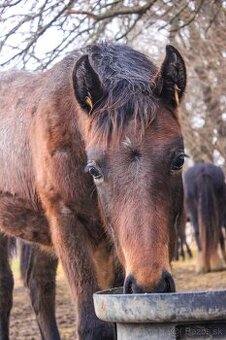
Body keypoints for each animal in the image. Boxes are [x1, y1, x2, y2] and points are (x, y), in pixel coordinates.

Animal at [0, 43, 187, 340]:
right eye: (94, 170)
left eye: (179, 160)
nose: (149, 285)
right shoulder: (67, 222)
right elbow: (93, 324)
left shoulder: (109, 244)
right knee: (6, 290)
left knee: (40, 288)